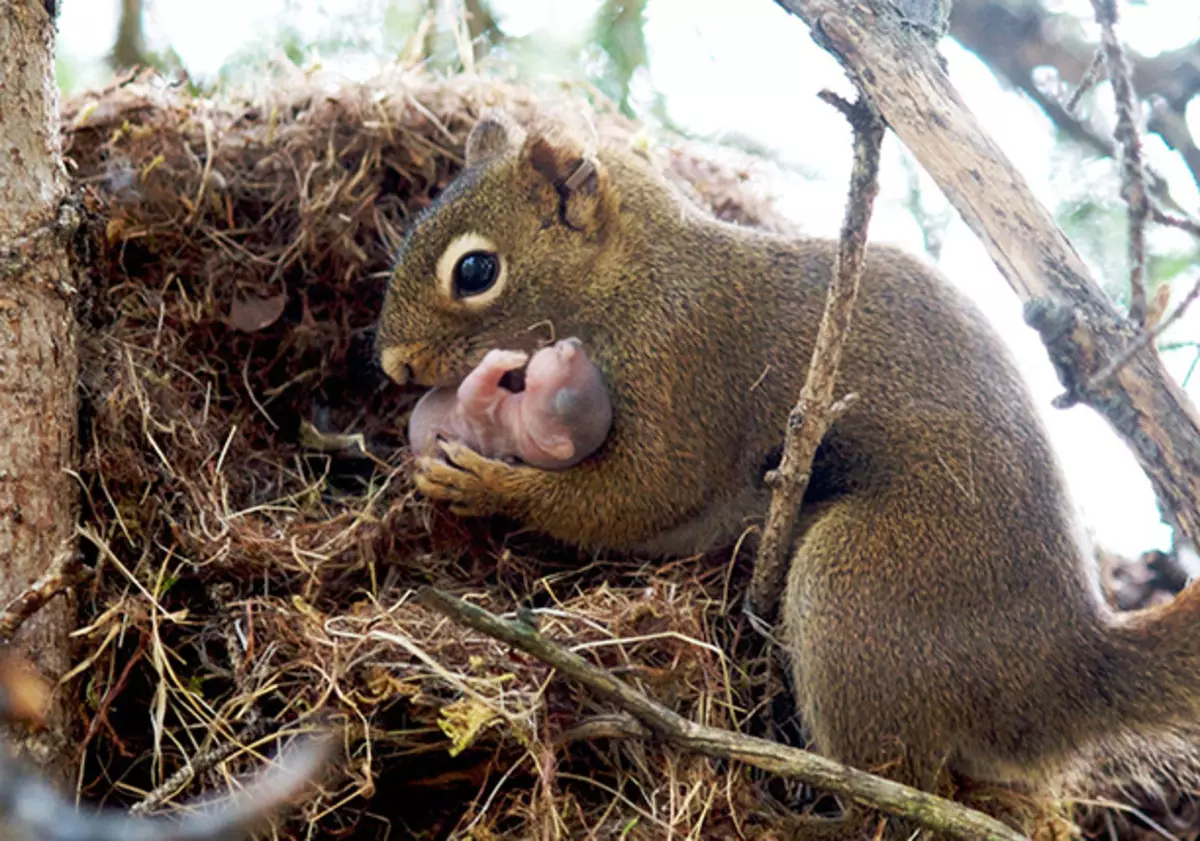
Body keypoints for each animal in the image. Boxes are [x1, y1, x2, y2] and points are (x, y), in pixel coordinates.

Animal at [408, 335, 614, 470]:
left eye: (563, 400)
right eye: (596, 369)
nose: (573, 344)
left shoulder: (482, 418)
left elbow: (469, 388)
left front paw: (506, 358)